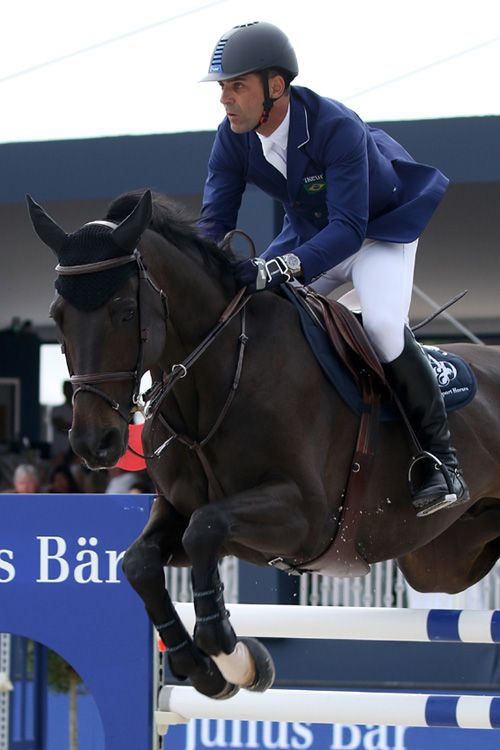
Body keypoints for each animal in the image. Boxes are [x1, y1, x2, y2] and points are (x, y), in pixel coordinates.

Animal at [28, 191, 500, 704]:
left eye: (124, 312)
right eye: (57, 317)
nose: (92, 443)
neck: (217, 382)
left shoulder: (306, 517)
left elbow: (204, 529)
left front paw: (233, 656)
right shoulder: (179, 509)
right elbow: (140, 563)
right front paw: (202, 667)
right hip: (443, 560)